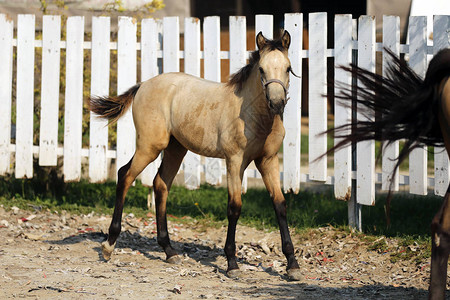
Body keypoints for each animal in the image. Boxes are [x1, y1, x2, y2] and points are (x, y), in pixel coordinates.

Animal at [88, 31, 302, 280]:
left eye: (288, 68)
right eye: (261, 70)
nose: (277, 104)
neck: (254, 115)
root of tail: (143, 85)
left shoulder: (268, 160)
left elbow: (280, 204)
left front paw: (292, 265)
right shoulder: (234, 161)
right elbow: (234, 207)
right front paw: (232, 264)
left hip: (175, 148)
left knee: (160, 184)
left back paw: (169, 251)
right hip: (150, 146)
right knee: (125, 175)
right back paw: (108, 245)